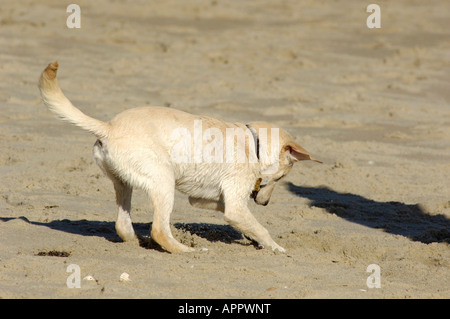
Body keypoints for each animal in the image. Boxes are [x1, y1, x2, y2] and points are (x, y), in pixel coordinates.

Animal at [38, 61, 320, 254]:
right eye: (281, 178)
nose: (265, 204)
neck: (253, 142)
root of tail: (108, 127)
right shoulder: (235, 206)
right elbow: (259, 226)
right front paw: (276, 248)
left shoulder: (207, 199)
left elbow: (244, 221)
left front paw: (253, 238)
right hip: (164, 182)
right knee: (160, 230)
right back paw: (189, 251)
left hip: (124, 183)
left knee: (123, 225)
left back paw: (139, 242)